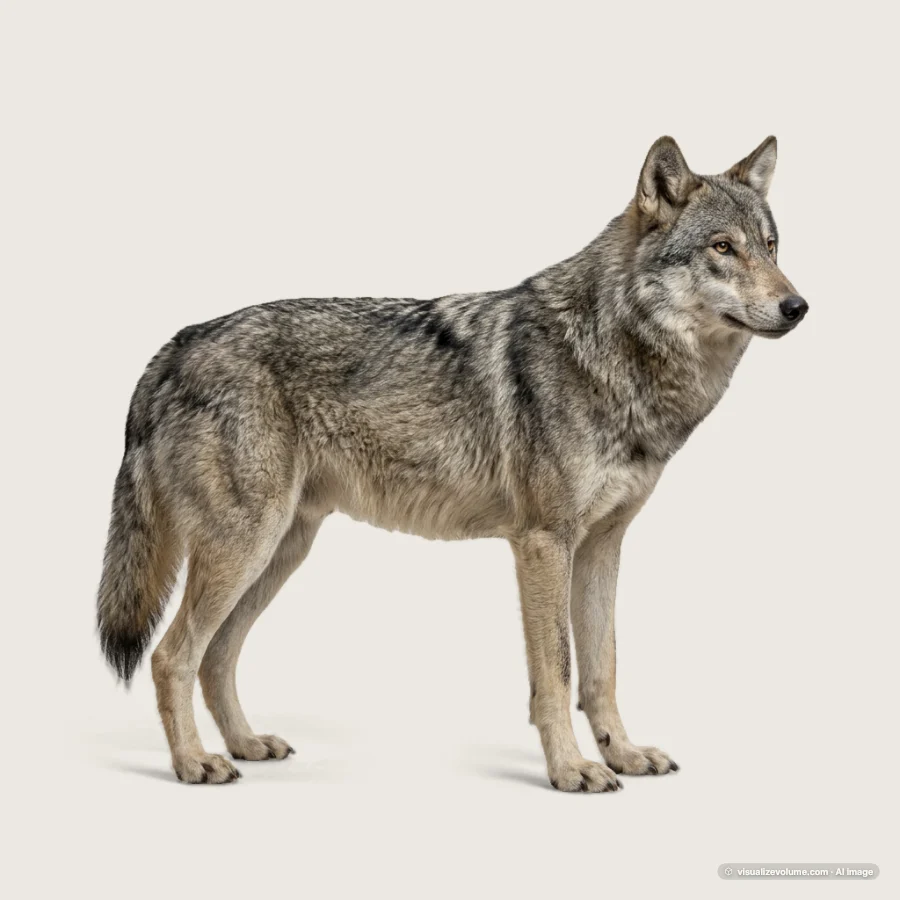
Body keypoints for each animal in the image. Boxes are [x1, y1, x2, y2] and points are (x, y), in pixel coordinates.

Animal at [97, 137, 807, 789]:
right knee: (171, 656)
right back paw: (194, 763)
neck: (616, 356)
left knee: (216, 657)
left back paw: (245, 744)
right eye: (722, 247)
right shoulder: (544, 544)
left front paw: (624, 755)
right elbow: (556, 675)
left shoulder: (602, 546)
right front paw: (571, 769)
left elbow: (602, 669)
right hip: (246, 548)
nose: (797, 307)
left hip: (279, 551)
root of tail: (176, 344)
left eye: (772, 247)